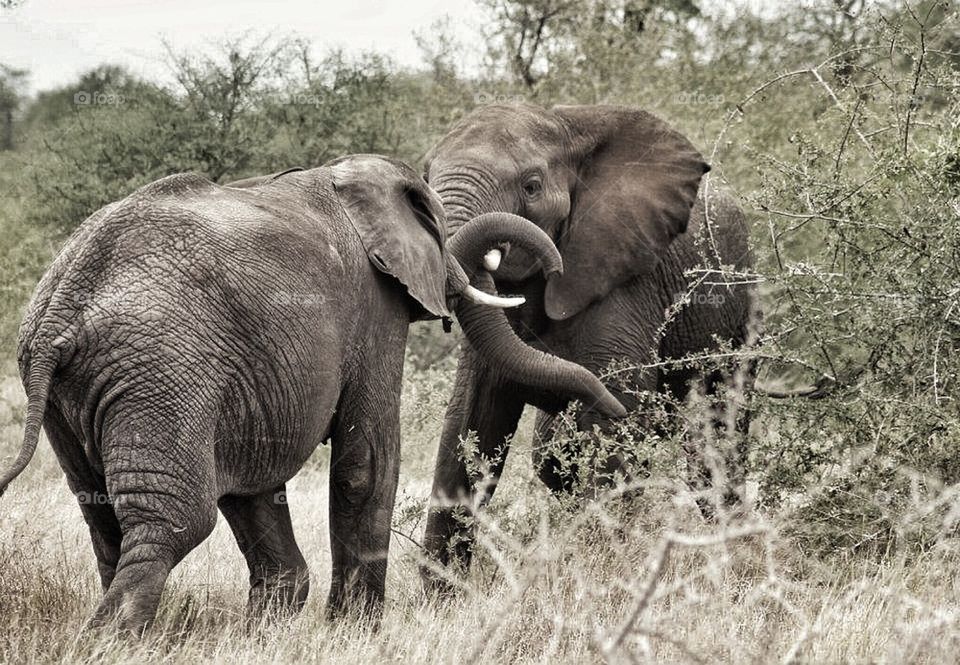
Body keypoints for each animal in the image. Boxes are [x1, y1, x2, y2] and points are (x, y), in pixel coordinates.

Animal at [2, 153, 626, 633]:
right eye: (441, 233)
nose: (616, 410)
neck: (347, 176)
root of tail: (62, 301)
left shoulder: (258, 380)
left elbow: (255, 483)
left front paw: (271, 630)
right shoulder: (374, 306)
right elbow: (365, 462)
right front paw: (357, 632)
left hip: (76, 392)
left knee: (105, 518)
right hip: (159, 374)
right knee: (174, 522)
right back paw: (112, 641)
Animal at [420, 104, 758, 580]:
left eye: (531, 186)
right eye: (424, 178)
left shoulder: (625, 278)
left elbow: (611, 424)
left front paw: (607, 573)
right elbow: (472, 419)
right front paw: (442, 593)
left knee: (718, 435)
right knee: (551, 458)